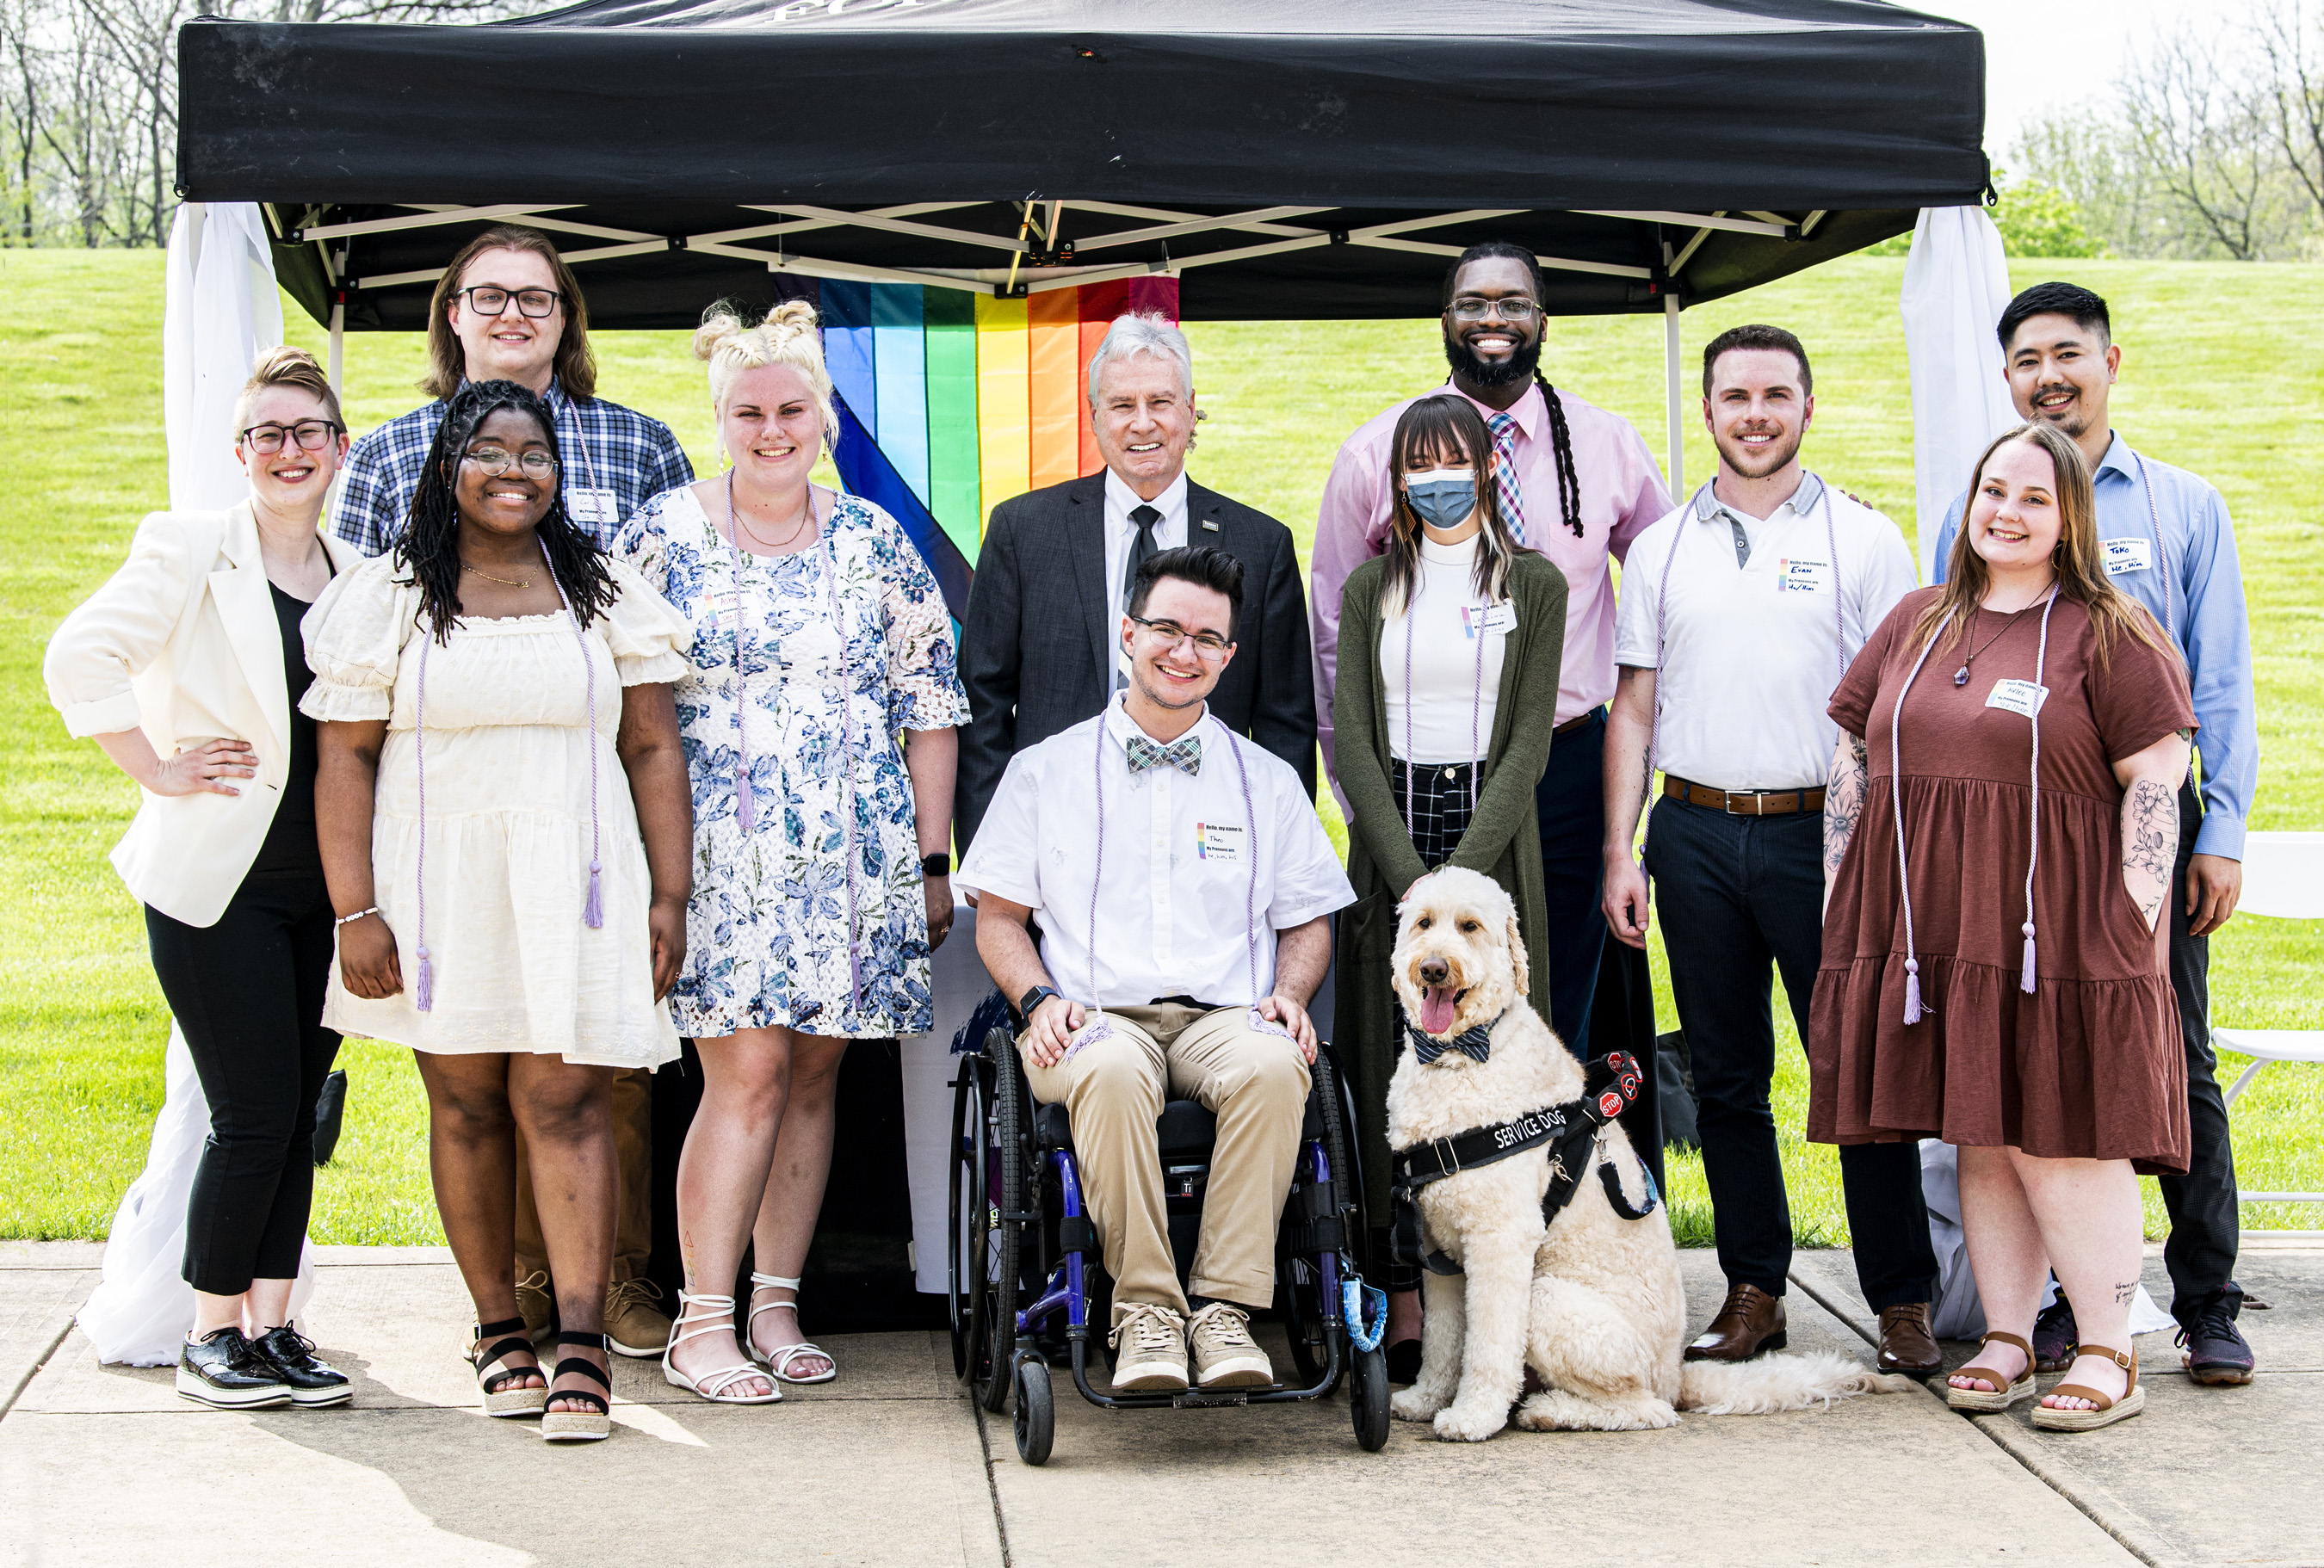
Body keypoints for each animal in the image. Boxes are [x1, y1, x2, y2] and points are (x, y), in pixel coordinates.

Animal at [1375, 864, 1906, 1440]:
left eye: (1470, 927)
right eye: (1425, 923)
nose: (1433, 968)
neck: (1461, 1056)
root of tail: (1676, 1373)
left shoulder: (1499, 1241)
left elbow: (1489, 1347)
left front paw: (1474, 1416)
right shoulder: (1440, 1249)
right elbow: (1444, 1340)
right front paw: (1427, 1399)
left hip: (1550, 1301)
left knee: (1645, 1409)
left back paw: (1551, 1411)